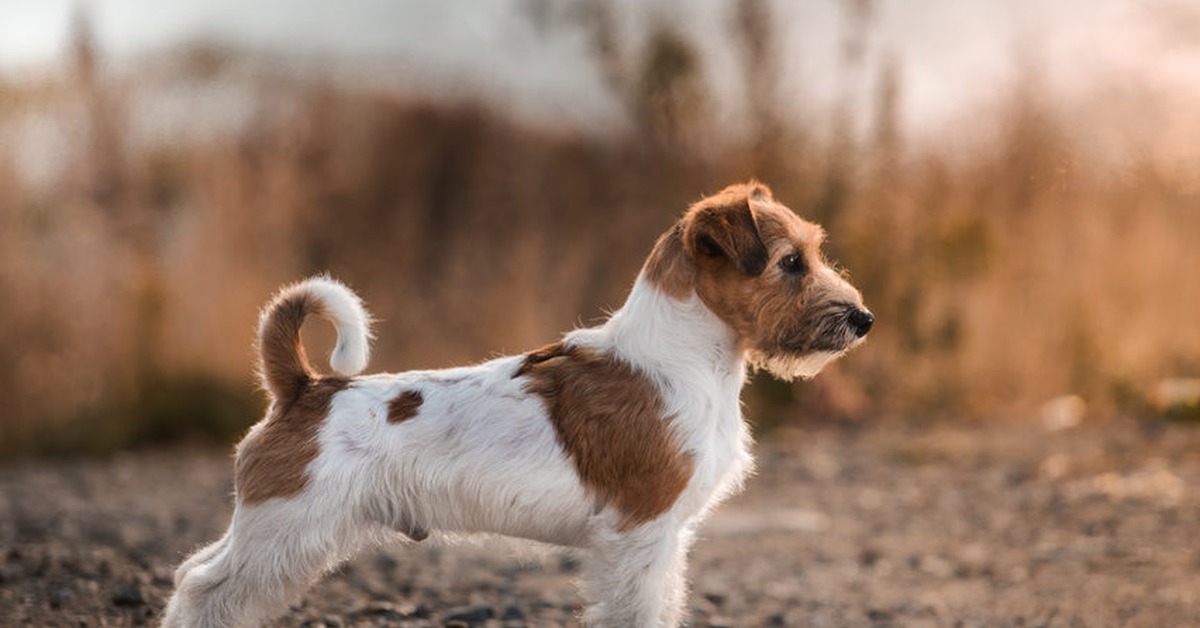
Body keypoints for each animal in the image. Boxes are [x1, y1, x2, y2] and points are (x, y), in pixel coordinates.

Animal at [162, 181, 873, 628]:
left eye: (814, 251)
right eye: (790, 262)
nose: (863, 319)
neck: (677, 362)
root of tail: (302, 387)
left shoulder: (664, 540)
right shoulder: (640, 536)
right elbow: (638, 612)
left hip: (277, 534)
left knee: (197, 573)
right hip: (285, 532)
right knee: (203, 588)